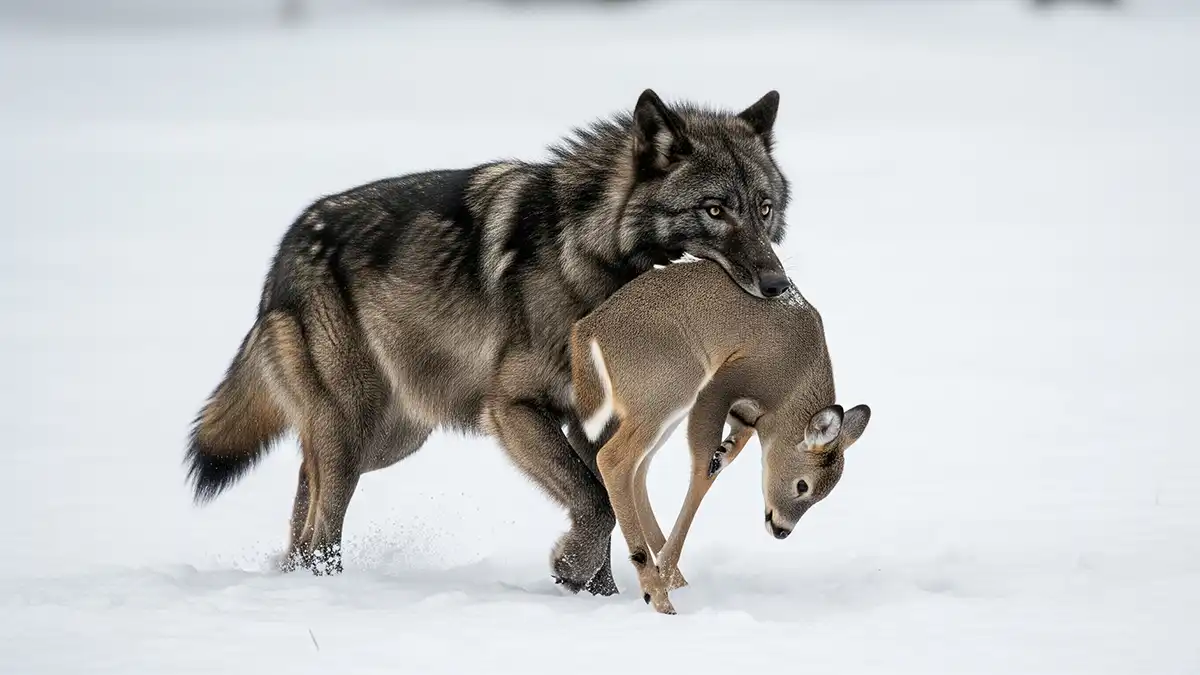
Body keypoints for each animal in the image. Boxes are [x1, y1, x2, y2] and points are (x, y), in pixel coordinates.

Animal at [184, 88, 793, 594]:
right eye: (714, 210)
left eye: (763, 208)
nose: (777, 285)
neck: (591, 255)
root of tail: (285, 249)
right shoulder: (513, 408)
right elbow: (594, 503)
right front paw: (571, 569)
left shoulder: (598, 426)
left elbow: (606, 506)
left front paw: (599, 599)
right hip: (353, 432)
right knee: (321, 533)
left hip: (390, 440)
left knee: (303, 497)